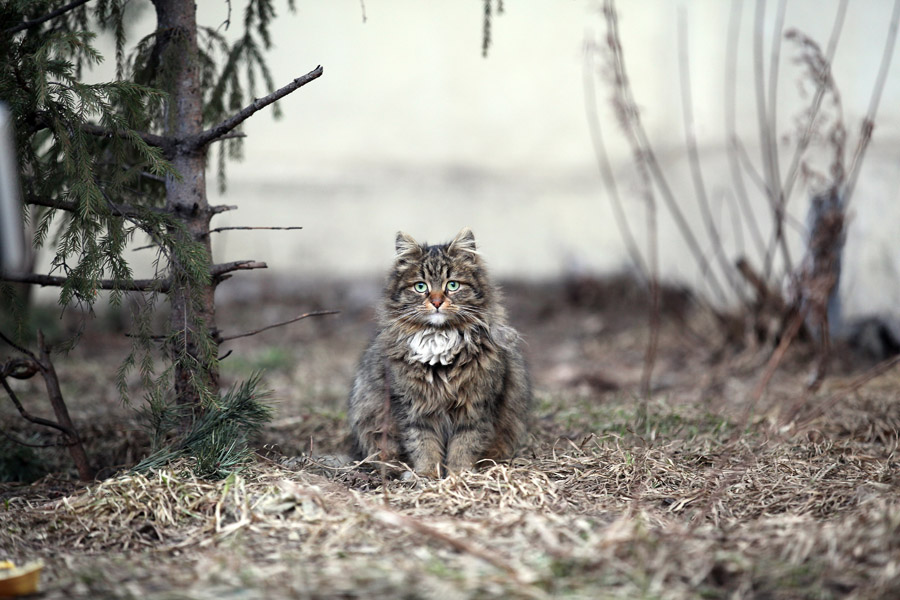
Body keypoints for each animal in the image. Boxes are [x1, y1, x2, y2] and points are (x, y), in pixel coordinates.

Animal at [348, 227, 532, 476]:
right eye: (421, 286)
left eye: (452, 285)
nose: (436, 302)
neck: (438, 341)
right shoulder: (412, 407)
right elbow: (423, 445)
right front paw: (428, 475)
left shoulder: (476, 406)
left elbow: (464, 446)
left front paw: (457, 475)